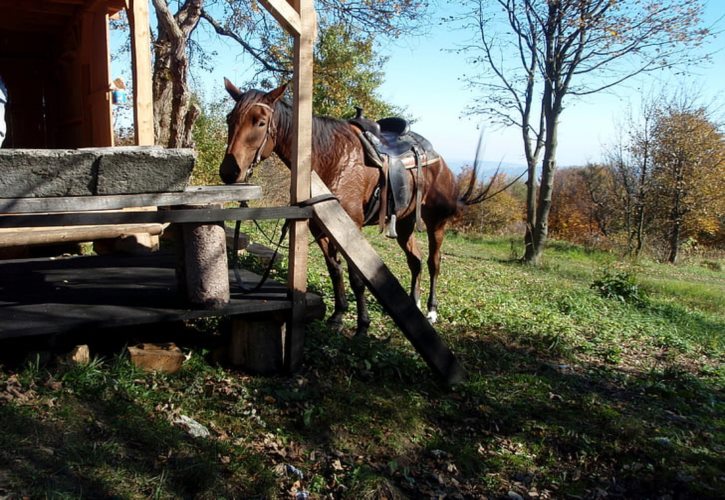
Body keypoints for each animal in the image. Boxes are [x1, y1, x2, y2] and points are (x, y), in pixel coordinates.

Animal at [218, 79, 484, 336]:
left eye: (261, 122)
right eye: (230, 118)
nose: (229, 172)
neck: (329, 158)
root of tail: (439, 160)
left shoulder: (351, 228)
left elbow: (357, 278)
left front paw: (362, 324)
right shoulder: (319, 227)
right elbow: (334, 269)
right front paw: (338, 315)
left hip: (436, 224)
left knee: (433, 263)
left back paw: (431, 311)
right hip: (405, 225)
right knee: (415, 261)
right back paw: (414, 304)